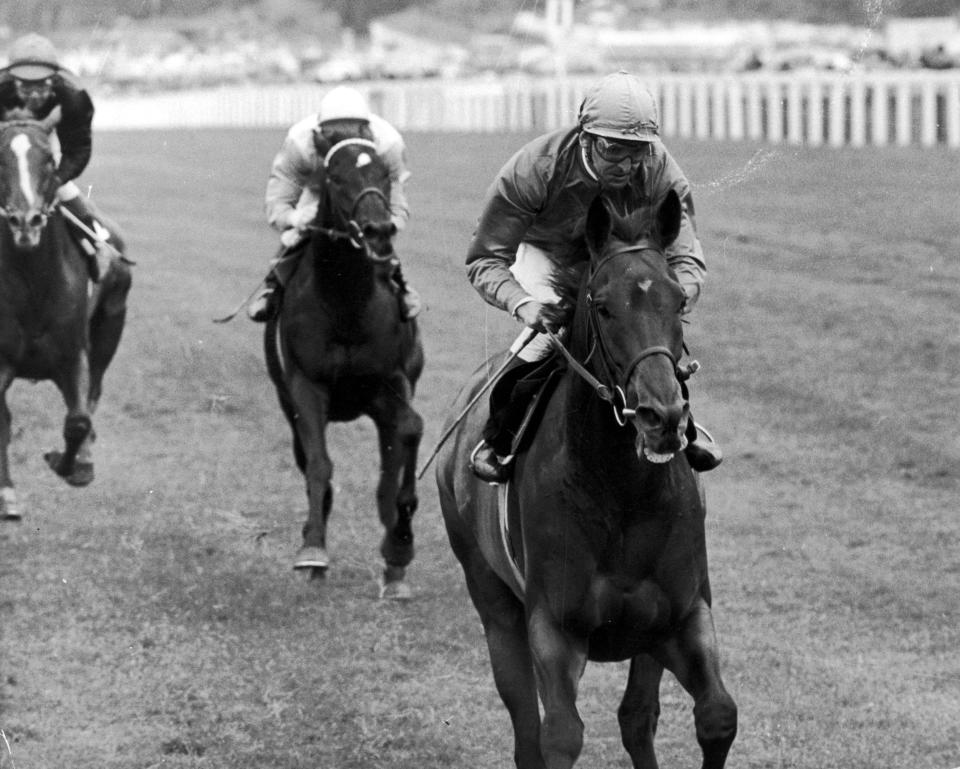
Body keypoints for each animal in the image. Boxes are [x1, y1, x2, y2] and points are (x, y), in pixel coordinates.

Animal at [0, 120, 131, 520]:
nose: (25, 221)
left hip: (110, 325)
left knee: (93, 394)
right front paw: (7, 493)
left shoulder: (73, 355)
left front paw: (70, 465)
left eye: (48, 159)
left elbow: (78, 420)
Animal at [264, 132, 426, 600]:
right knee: (307, 460)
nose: (378, 230)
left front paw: (399, 543)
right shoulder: (305, 386)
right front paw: (313, 549)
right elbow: (319, 464)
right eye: (334, 178)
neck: (346, 303)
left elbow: (410, 431)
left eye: (385, 174)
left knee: (392, 454)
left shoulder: (390, 383)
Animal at [438, 192, 740, 768]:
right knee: (526, 728)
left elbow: (716, 715)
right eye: (602, 305)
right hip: (493, 602)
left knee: (636, 719)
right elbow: (559, 735)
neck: (622, 494)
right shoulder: (554, 629)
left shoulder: (680, 617)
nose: (662, 416)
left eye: (678, 302)